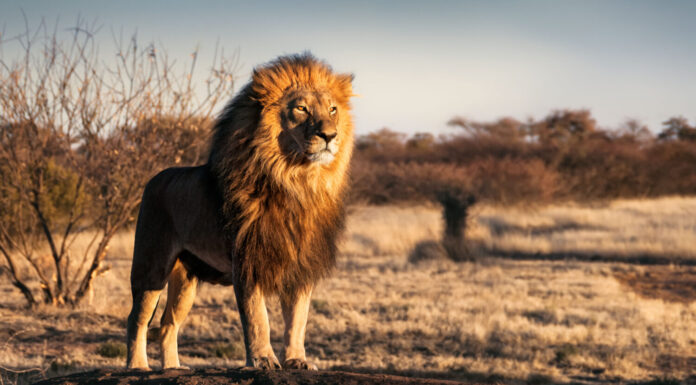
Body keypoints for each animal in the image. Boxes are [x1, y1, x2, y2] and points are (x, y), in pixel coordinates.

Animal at [125, 53, 354, 368]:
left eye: (333, 109)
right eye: (301, 108)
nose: (330, 135)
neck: (296, 182)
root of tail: (154, 178)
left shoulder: (301, 265)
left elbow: (298, 319)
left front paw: (297, 360)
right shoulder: (247, 260)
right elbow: (258, 318)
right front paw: (263, 360)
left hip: (185, 279)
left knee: (167, 324)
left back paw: (172, 368)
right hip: (151, 266)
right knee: (137, 318)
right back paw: (137, 366)